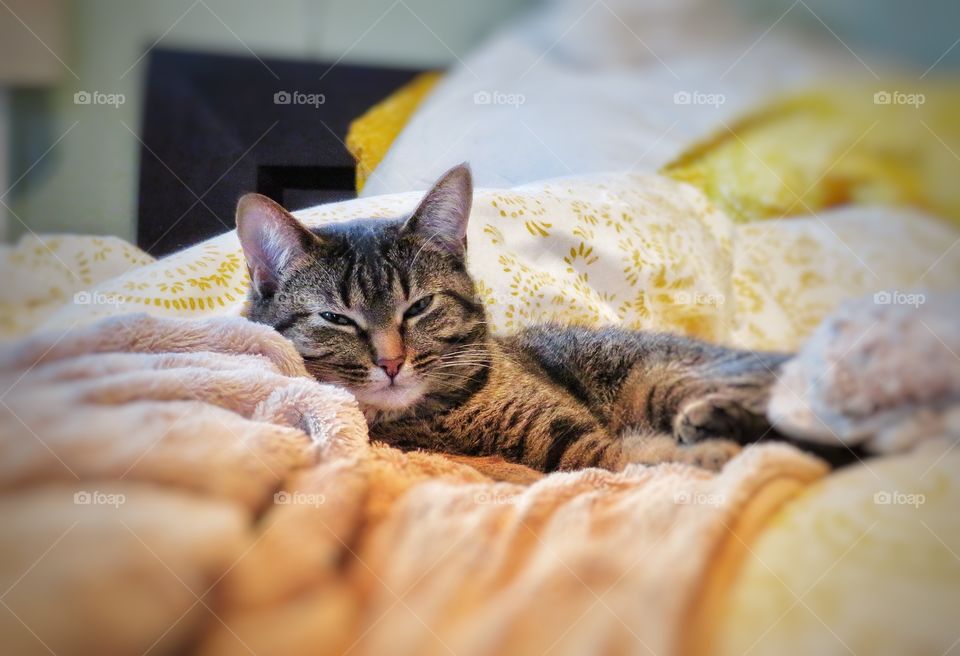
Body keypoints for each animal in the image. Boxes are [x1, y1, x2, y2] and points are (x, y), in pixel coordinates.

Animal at [238, 164, 788, 472]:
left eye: (419, 307)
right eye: (336, 317)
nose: (391, 363)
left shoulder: (568, 428)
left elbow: (623, 457)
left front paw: (704, 453)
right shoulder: (572, 447)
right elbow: (624, 460)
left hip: (661, 377)